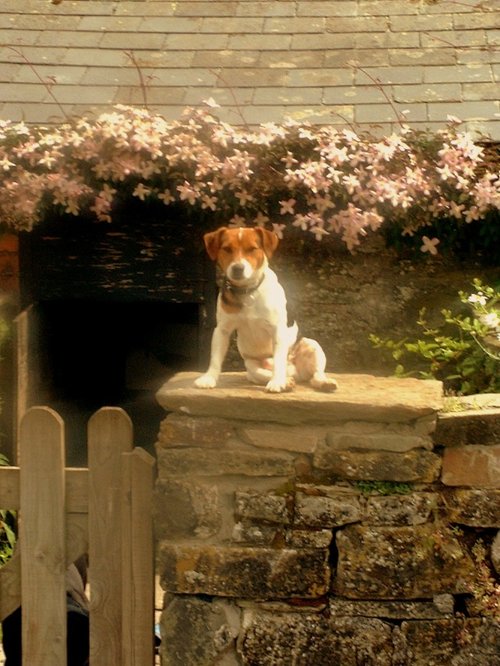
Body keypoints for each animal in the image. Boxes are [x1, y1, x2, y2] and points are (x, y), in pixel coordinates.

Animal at [193, 226, 338, 392]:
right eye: (227, 249)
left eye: (252, 249)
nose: (238, 268)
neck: (248, 290)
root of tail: (294, 372)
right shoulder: (222, 330)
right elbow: (215, 359)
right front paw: (208, 378)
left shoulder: (277, 329)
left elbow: (279, 361)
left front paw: (277, 382)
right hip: (251, 366)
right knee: (264, 374)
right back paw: (287, 381)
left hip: (312, 345)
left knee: (315, 375)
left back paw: (322, 382)